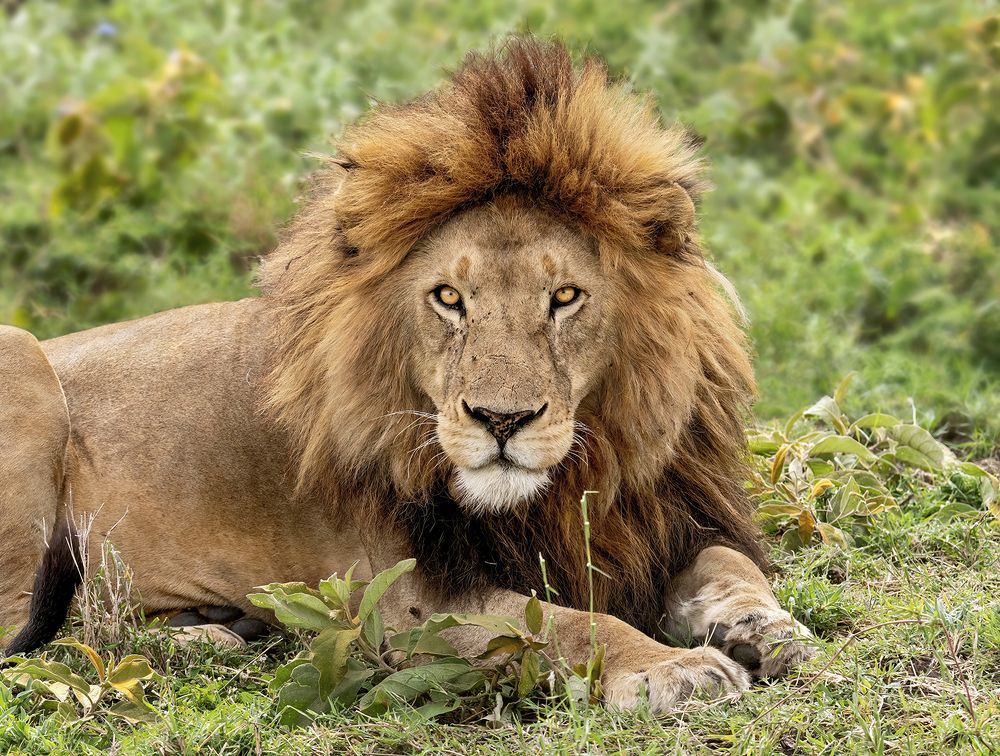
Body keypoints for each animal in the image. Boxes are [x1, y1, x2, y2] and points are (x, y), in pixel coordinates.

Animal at [0, 38, 813, 712]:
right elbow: (567, 623)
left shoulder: (660, 521)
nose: (502, 421)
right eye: (449, 298)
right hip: (22, 362)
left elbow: (730, 565)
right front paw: (669, 669)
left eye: (564, 298)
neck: (572, 482)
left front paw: (767, 629)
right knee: (35, 643)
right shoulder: (400, 596)